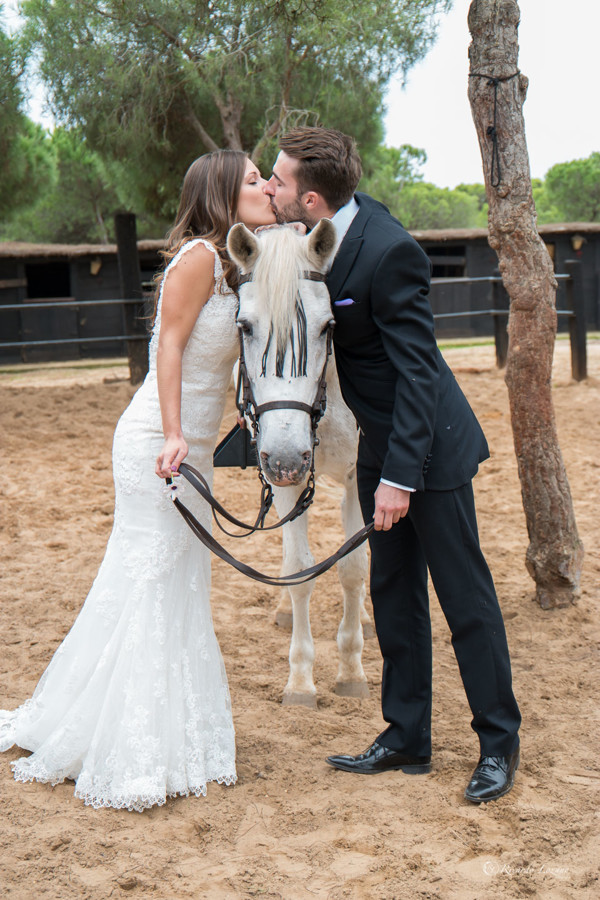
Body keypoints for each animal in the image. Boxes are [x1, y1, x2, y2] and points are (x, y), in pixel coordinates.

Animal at [227, 221, 372, 708]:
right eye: (245, 326)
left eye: (329, 326)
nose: (289, 458)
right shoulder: (286, 482)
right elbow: (298, 571)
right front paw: (301, 681)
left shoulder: (359, 479)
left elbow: (353, 567)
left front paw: (350, 670)